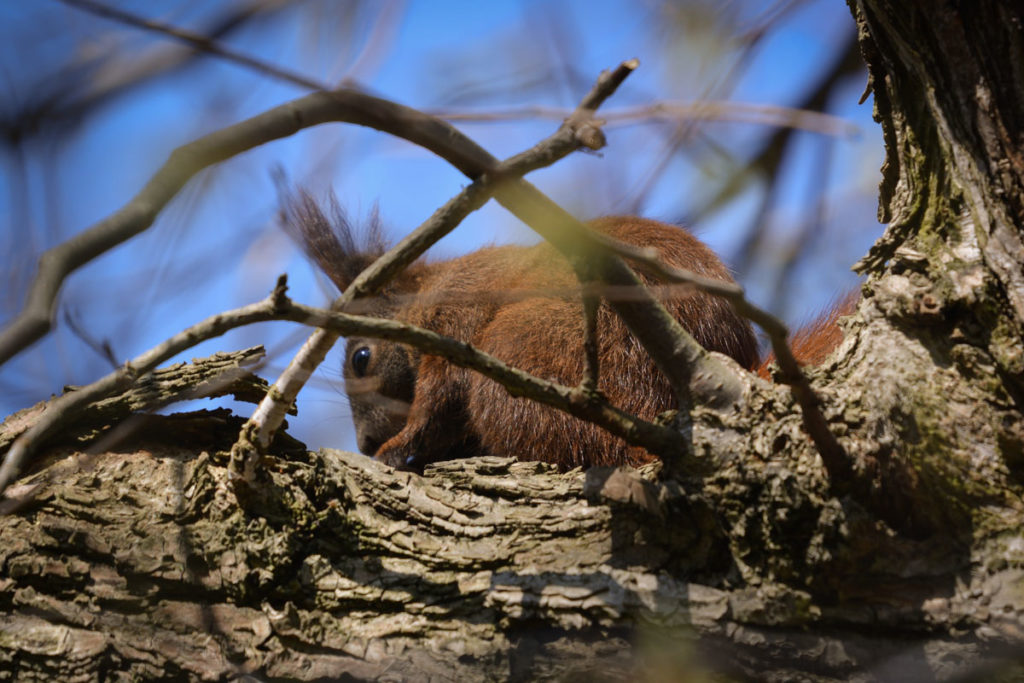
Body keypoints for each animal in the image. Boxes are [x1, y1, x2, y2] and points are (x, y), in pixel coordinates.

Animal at [284, 192, 851, 471]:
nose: (364, 442)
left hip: (526, 352)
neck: (430, 293)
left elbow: (436, 402)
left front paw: (398, 448)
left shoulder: (457, 327)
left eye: (360, 358)